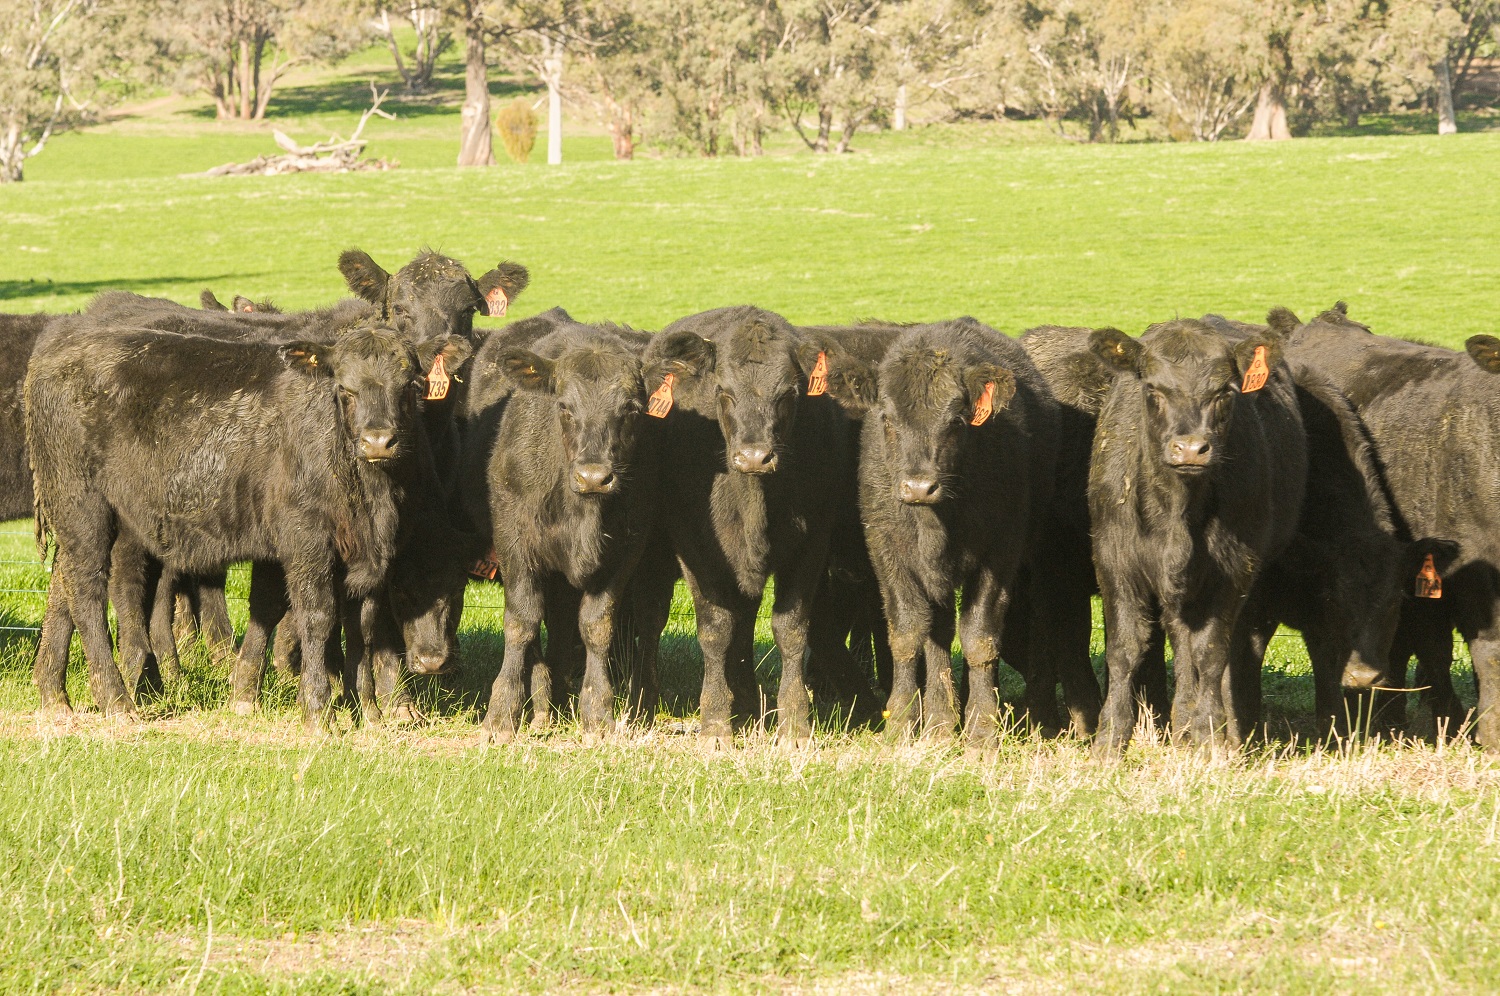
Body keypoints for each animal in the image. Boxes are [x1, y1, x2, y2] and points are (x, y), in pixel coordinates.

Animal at [810, 319, 1068, 738]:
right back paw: (940, 720)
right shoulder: (887, 554)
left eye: (956, 421)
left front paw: (982, 726)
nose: (919, 487)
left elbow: (980, 638)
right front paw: (902, 721)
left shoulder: (999, 556)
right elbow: (906, 635)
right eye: (887, 419)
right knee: (939, 634)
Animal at [1086, 319, 1308, 747]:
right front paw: (1109, 739)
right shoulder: (1113, 559)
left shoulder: (1234, 567)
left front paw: (1209, 734)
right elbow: (1123, 648)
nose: (1191, 448)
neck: (1178, 513)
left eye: (1224, 392)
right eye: (1153, 390)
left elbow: (1211, 652)